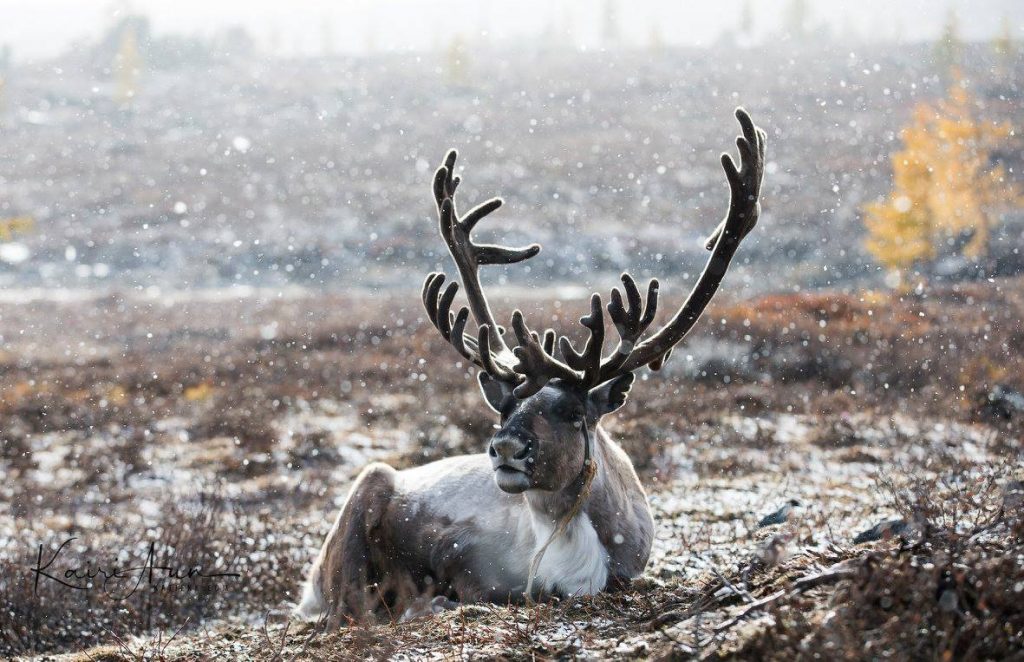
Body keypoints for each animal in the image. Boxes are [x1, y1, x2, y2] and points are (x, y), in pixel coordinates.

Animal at [297, 108, 766, 627]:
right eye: (504, 409)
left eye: (575, 413)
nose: (506, 448)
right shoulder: (468, 564)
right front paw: (430, 601)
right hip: (368, 487)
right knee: (345, 607)